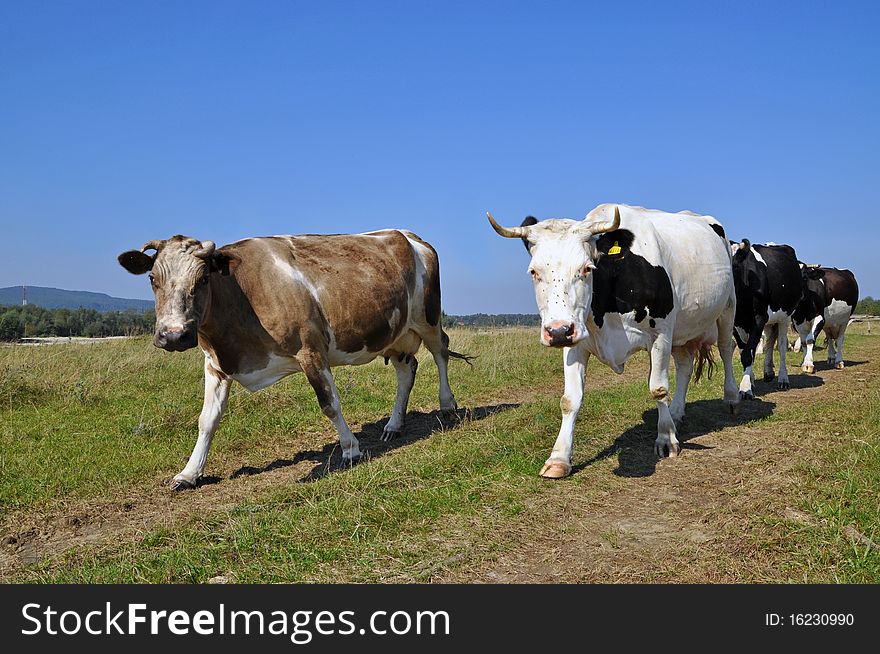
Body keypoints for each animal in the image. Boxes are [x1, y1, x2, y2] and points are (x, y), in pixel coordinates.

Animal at [120, 231, 470, 492]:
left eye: (204, 278)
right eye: (152, 278)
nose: (173, 335)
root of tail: (409, 235)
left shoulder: (311, 349)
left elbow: (330, 404)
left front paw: (350, 449)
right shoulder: (216, 365)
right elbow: (207, 419)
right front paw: (189, 473)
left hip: (427, 316)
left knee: (440, 352)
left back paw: (448, 405)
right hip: (396, 333)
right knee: (406, 370)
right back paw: (394, 425)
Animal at [488, 202, 744, 480]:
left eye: (586, 268)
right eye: (534, 272)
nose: (558, 331)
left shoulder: (661, 333)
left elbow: (658, 388)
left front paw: (666, 438)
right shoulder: (576, 341)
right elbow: (570, 399)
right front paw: (559, 458)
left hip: (727, 307)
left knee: (726, 349)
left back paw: (731, 398)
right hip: (682, 328)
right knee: (685, 367)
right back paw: (676, 413)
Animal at [728, 238, 804, 398]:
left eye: (735, 266)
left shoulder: (759, 318)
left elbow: (748, 354)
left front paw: (745, 388)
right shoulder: (735, 324)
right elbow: (745, 351)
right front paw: (750, 381)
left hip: (785, 316)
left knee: (781, 345)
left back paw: (783, 379)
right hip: (770, 320)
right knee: (769, 341)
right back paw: (768, 372)